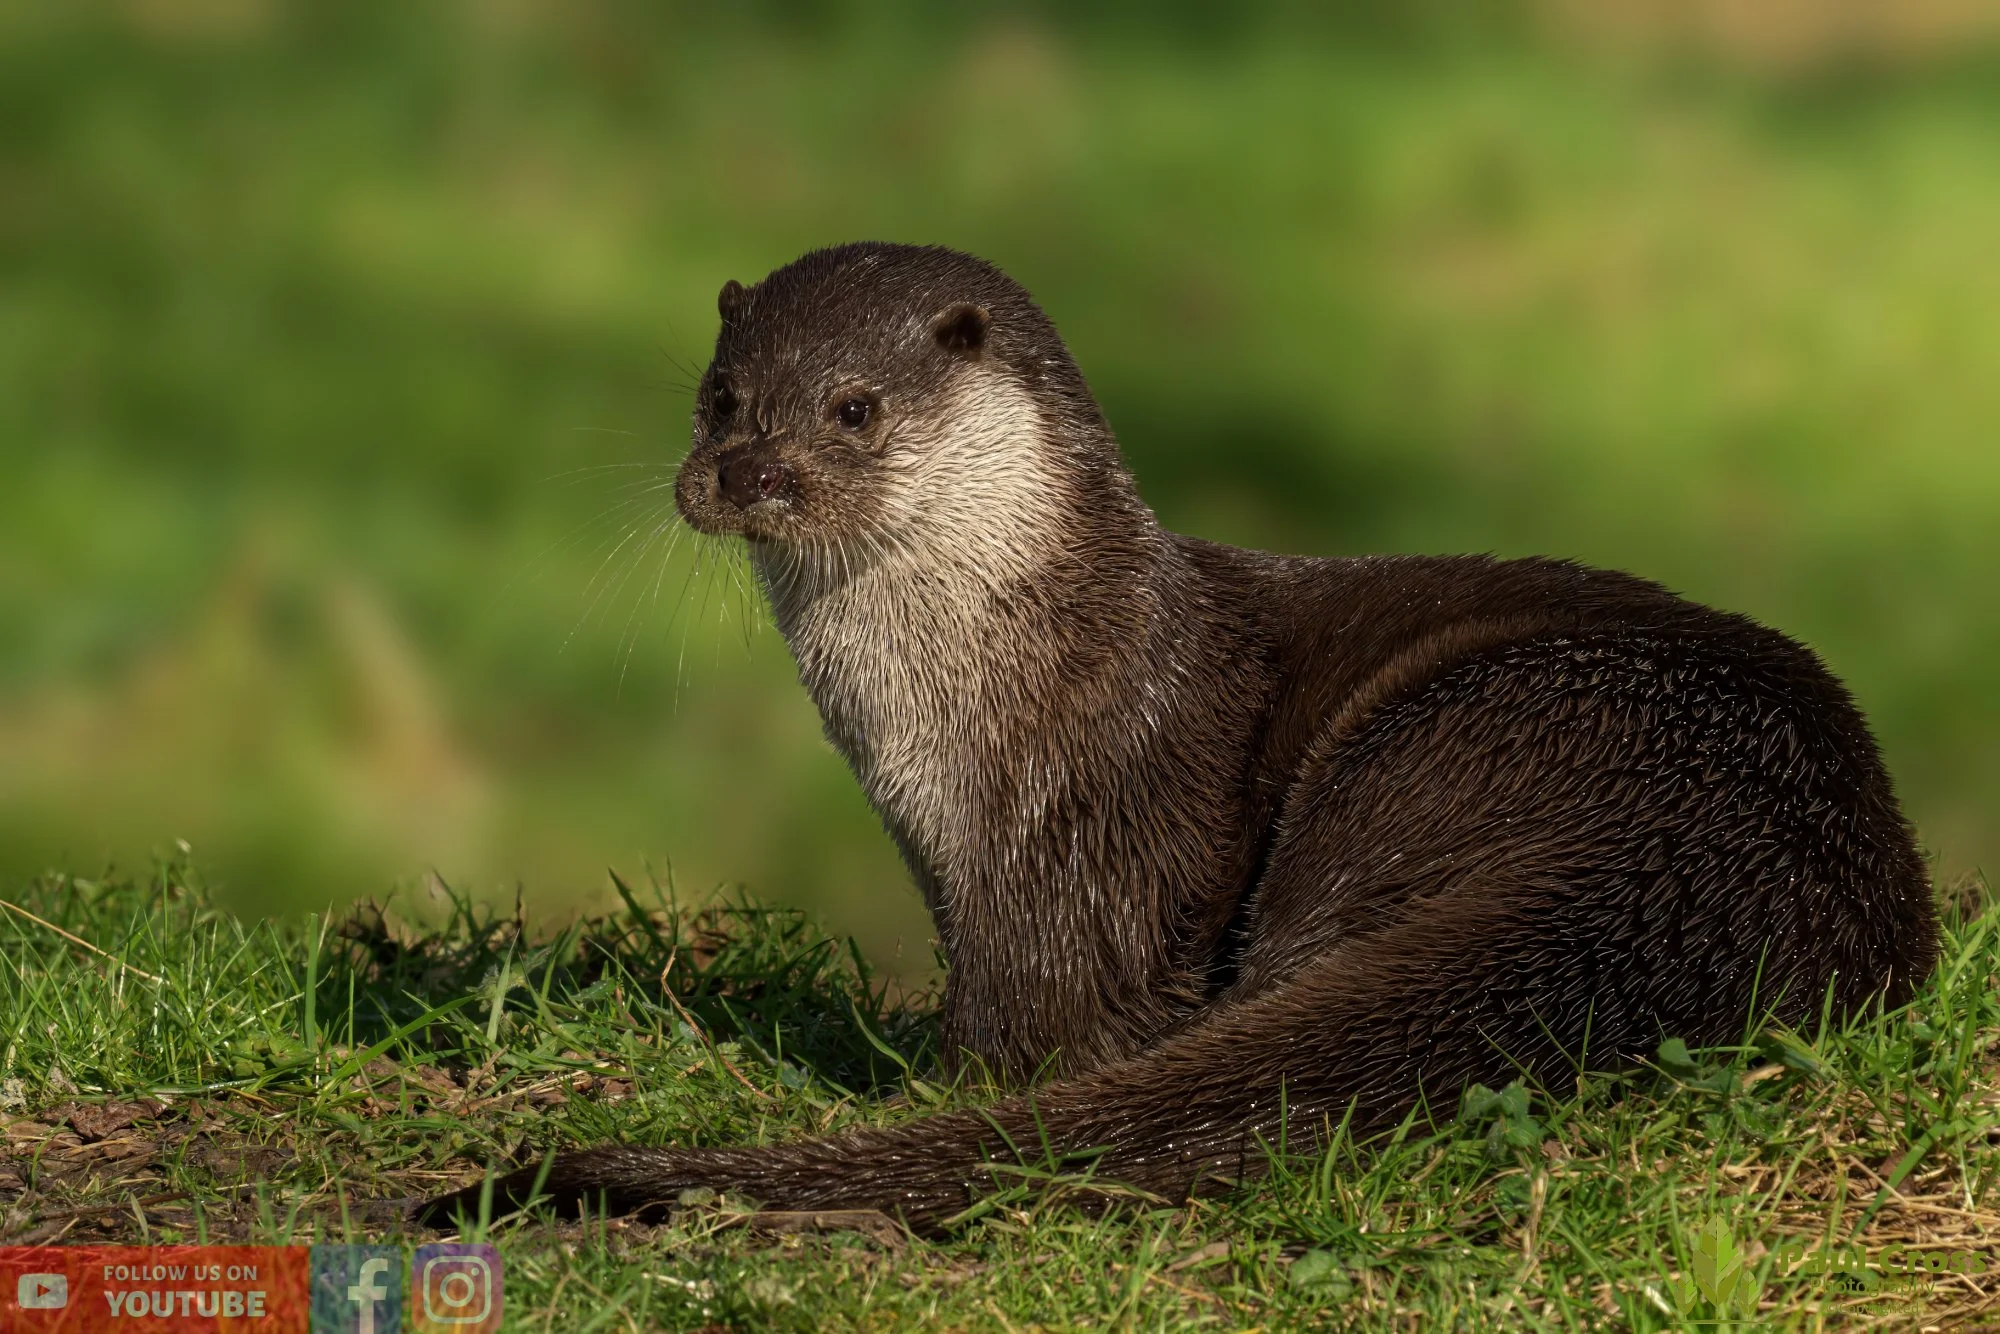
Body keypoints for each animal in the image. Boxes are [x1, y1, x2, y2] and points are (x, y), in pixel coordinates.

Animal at [423, 242, 1937, 1231]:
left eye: (854, 405)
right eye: (721, 395)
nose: (744, 474)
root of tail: (1703, 848)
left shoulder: (1088, 829)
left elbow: (1047, 1020)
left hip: (1442, 745)